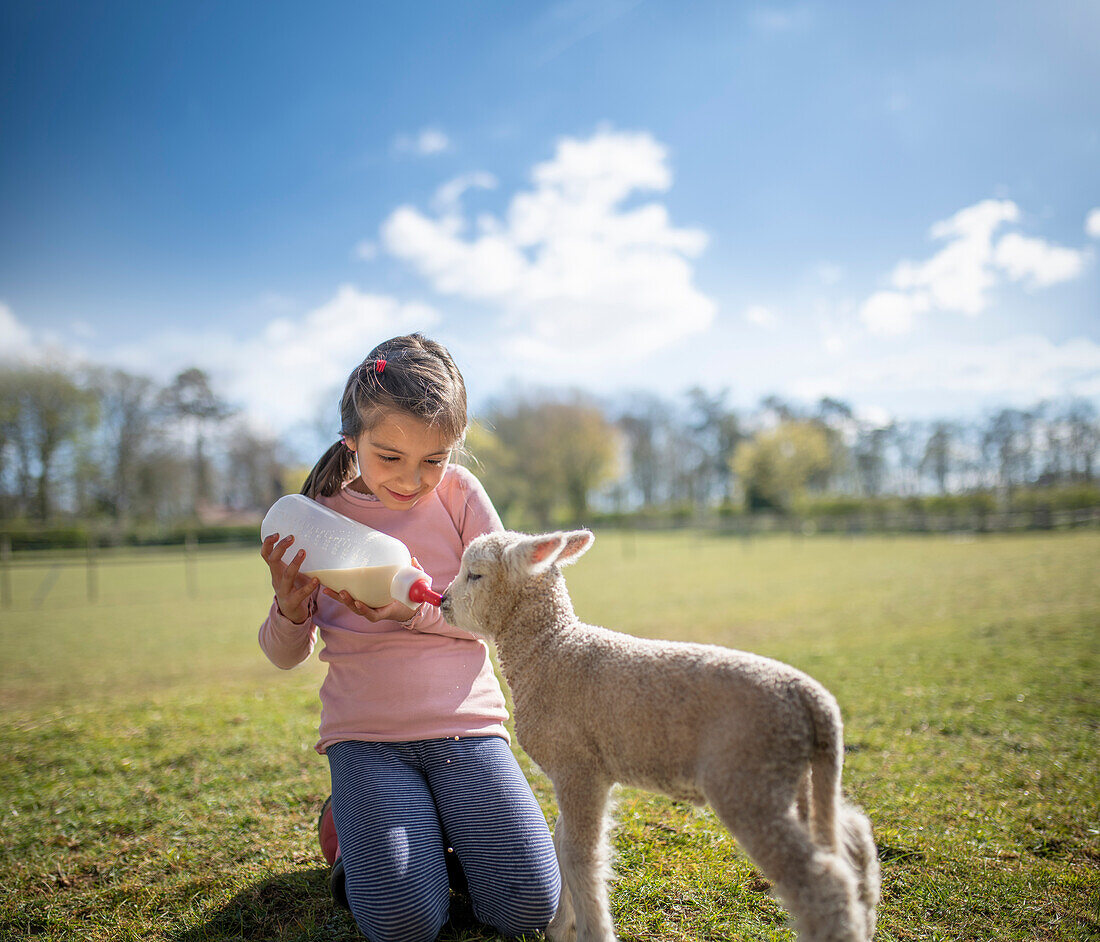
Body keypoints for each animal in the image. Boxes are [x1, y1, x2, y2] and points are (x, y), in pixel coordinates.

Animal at [437, 530, 875, 942]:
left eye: (475, 574)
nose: (442, 601)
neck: (549, 650)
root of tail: (814, 701)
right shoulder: (574, 773)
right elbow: (562, 842)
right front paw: (562, 928)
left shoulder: (579, 767)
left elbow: (581, 856)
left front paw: (594, 932)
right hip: (791, 776)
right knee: (852, 836)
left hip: (748, 780)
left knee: (822, 877)